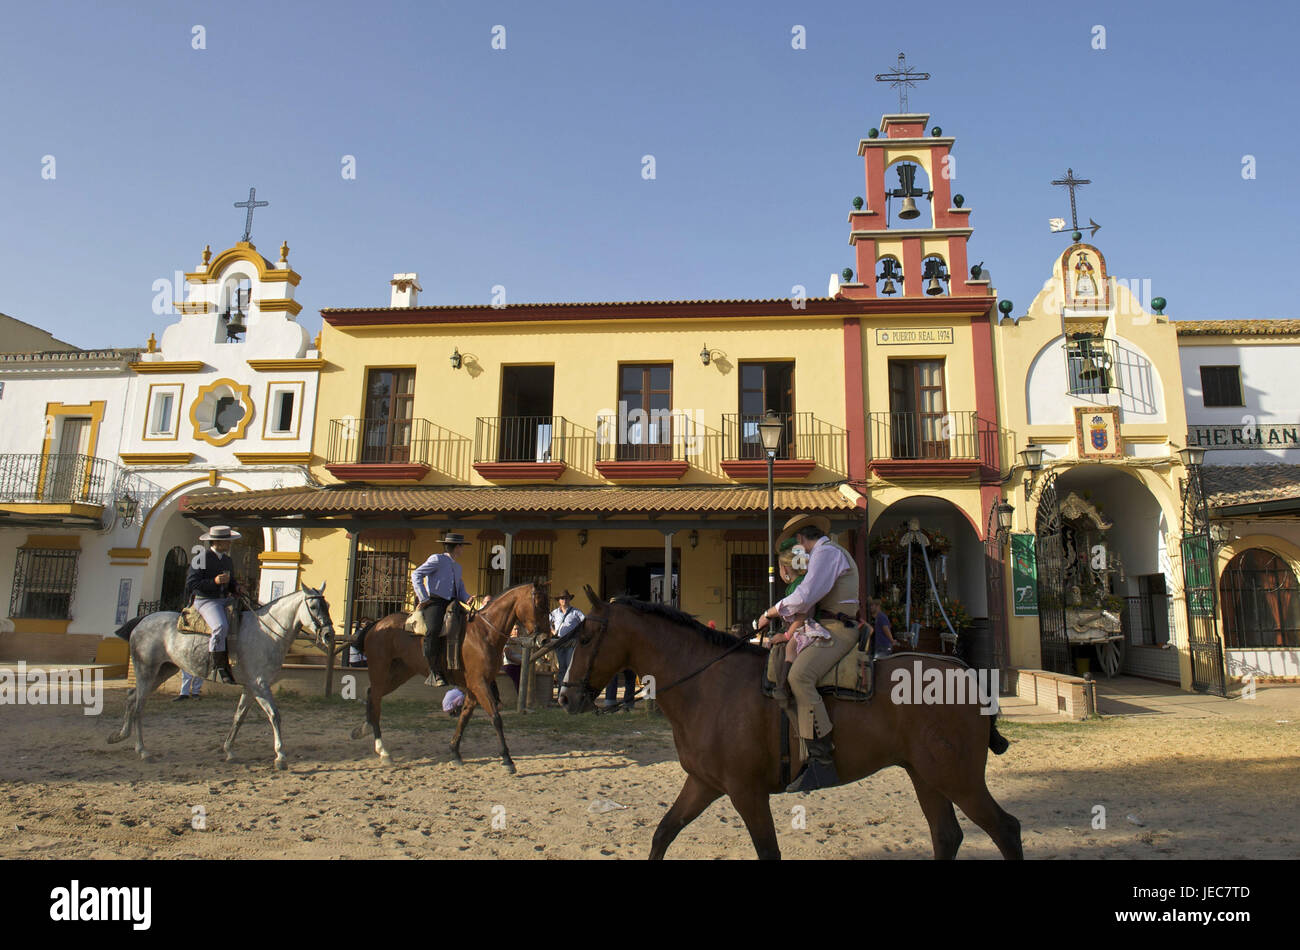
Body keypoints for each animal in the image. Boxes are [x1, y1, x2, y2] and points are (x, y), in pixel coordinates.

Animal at [109, 582, 335, 769]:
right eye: (313, 607)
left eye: (328, 605)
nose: (329, 635)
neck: (267, 633)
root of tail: (142, 621)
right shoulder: (260, 685)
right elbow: (274, 715)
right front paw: (280, 756)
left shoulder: (250, 687)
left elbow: (239, 716)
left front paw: (229, 750)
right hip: (147, 670)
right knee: (139, 705)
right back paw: (143, 750)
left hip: (164, 670)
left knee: (132, 697)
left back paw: (120, 736)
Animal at [345, 579, 548, 774]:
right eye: (539, 605)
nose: (545, 639)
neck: (484, 633)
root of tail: (377, 624)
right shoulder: (479, 684)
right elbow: (496, 718)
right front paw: (507, 759)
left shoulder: (475, 687)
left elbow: (464, 717)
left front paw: (455, 752)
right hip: (380, 669)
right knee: (376, 699)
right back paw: (383, 750)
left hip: (400, 673)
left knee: (372, 694)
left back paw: (365, 730)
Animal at [553, 587, 1019, 862]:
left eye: (585, 637)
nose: (565, 697)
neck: (707, 683)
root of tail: (965, 674)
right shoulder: (703, 784)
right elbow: (664, 832)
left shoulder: (747, 792)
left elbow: (768, 852)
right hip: (927, 777)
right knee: (947, 836)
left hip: (959, 779)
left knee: (1006, 829)